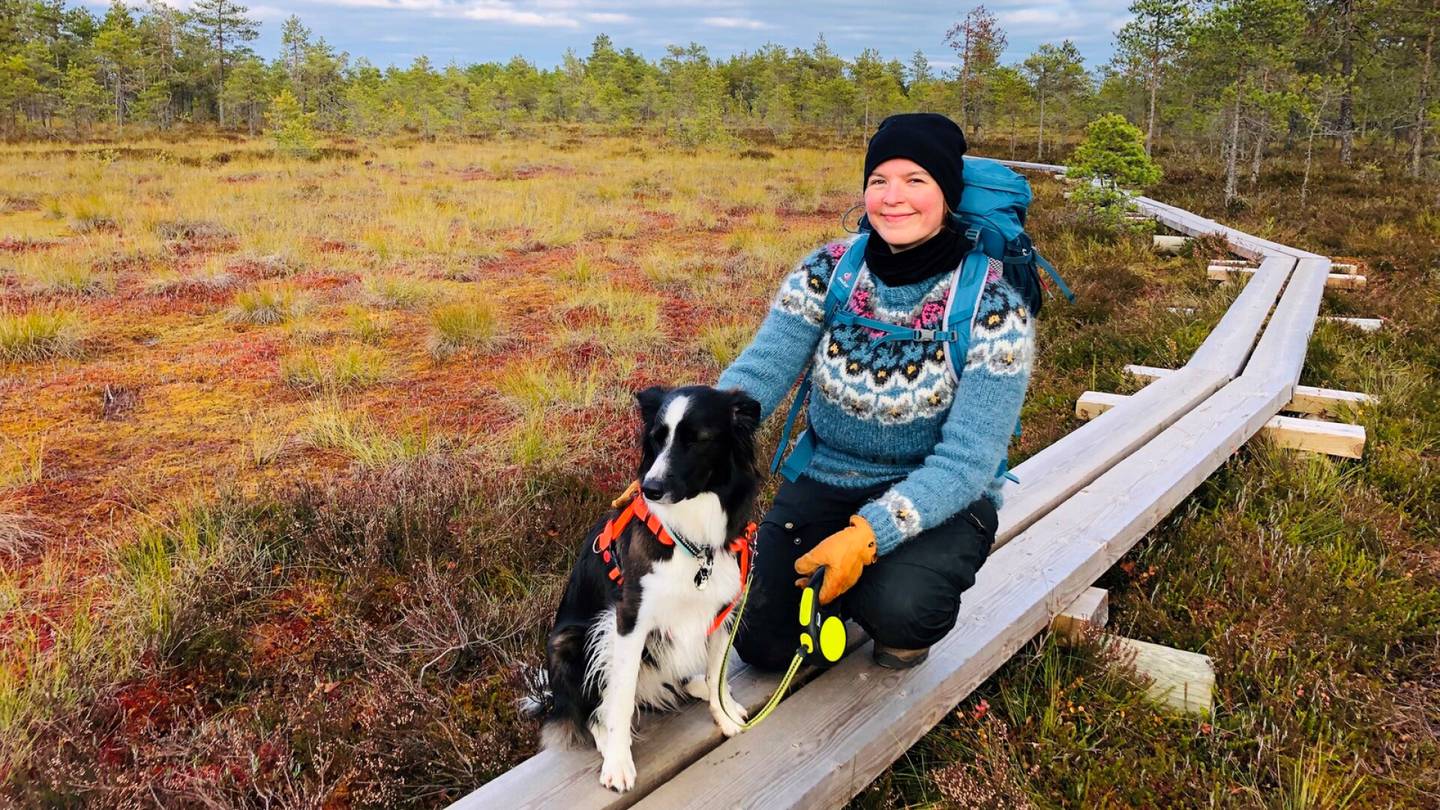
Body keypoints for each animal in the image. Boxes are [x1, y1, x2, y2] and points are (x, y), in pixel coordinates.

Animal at [527, 383, 766, 789]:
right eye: (657, 438)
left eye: (696, 440)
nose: (651, 488)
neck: (693, 542)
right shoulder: (629, 620)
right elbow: (620, 701)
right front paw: (618, 761)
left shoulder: (721, 610)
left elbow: (718, 671)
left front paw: (723, 713)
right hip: (571, 641)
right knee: (594, 709)